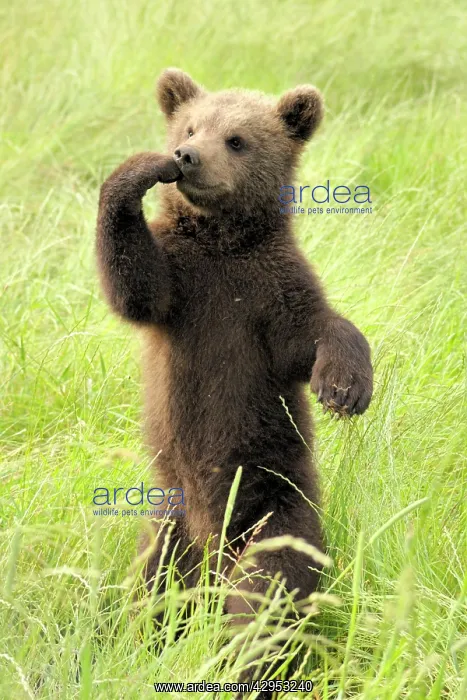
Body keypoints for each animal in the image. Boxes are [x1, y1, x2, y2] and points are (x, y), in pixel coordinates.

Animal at [96, 68, 373, 694]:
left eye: (238, 139)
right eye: (190, 127)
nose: (187, 156)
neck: (223, 243)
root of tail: (212, 548)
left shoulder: (268, 294)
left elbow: (316, 331)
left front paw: (344, 387)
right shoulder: (181, 287)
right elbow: (134, 284)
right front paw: (139, 170)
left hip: (274, 507)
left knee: (266, 591)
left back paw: (245, 659)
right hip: (170, 520)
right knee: (154, 587)